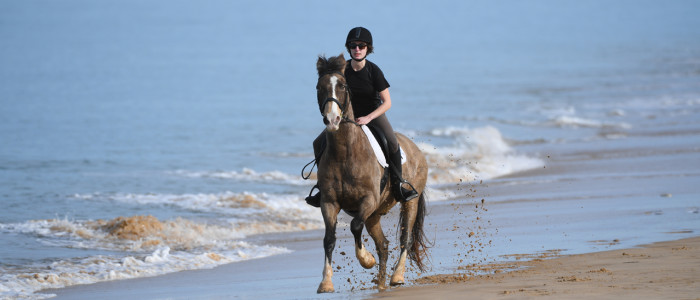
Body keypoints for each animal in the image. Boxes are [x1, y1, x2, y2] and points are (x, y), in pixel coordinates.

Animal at [314, 54, 430, 292]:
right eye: (319, 87)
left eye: (342, 85)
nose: (332, 120)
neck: (345, 154)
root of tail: (416, 150)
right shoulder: (329, 202)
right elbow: (329, 238)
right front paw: (326, 282)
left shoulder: (368, 200)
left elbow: (354, 226)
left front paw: (366, 260)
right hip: (375, 214)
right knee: (383, 245)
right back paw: (382, 284)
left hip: (409, 202)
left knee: (405, 239)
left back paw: (397, 276)